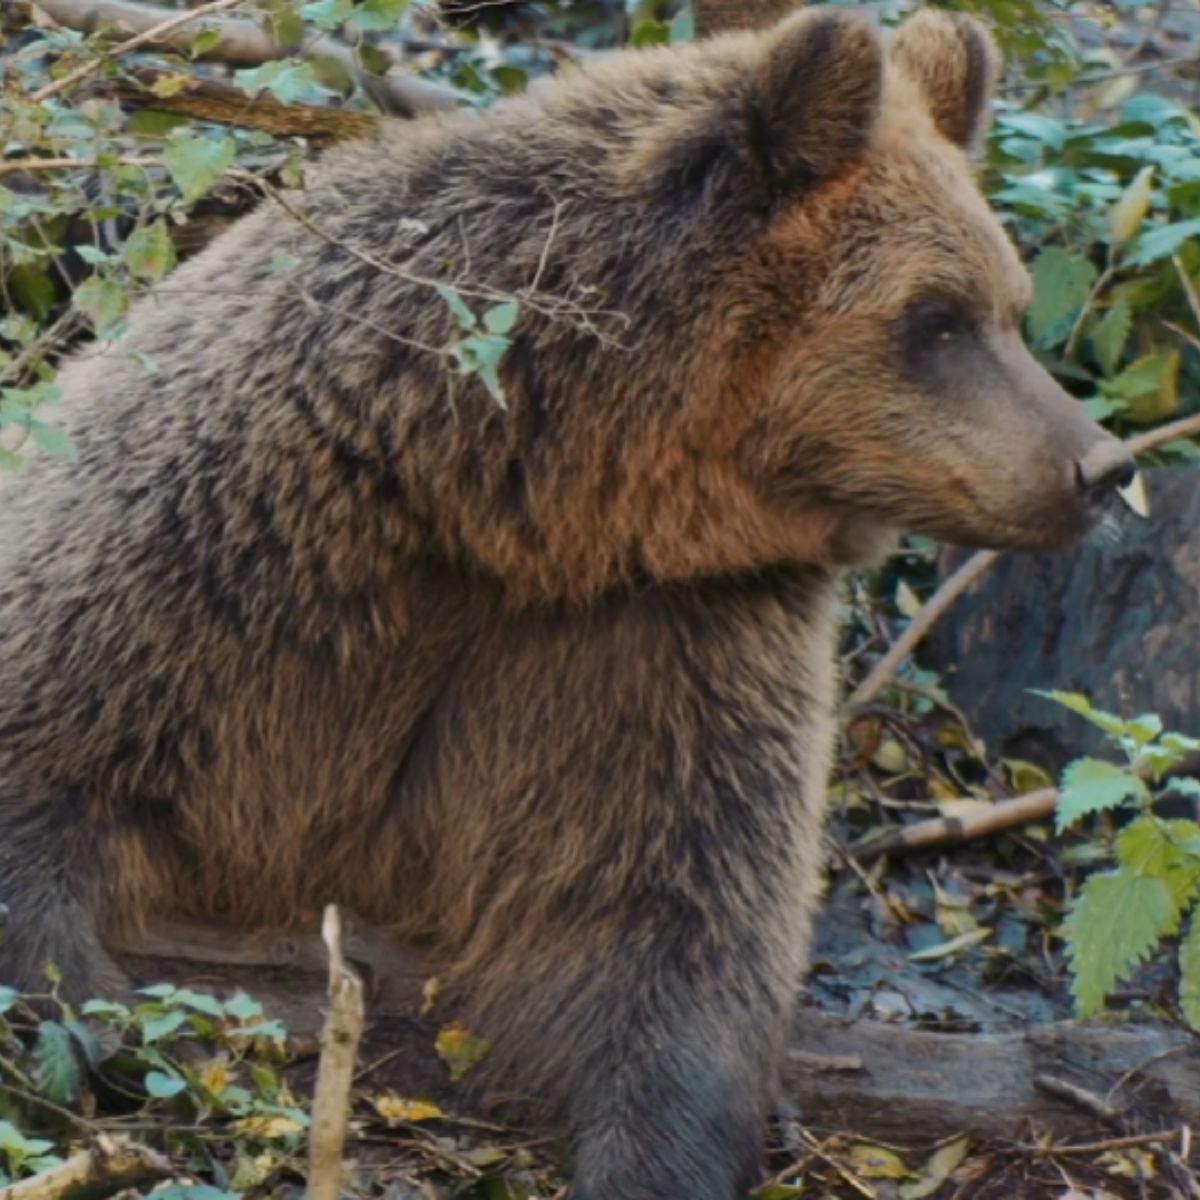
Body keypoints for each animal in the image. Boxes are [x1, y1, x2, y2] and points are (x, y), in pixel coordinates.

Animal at [0, 9, 1128, 1200]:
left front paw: (660, 1149)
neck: (524, 506)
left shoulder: (660, 639)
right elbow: (52, 753)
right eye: (938, 318)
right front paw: (101, 1016)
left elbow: (668, 924)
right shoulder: (241, 549)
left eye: (1009, 307)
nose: (1099, 467)